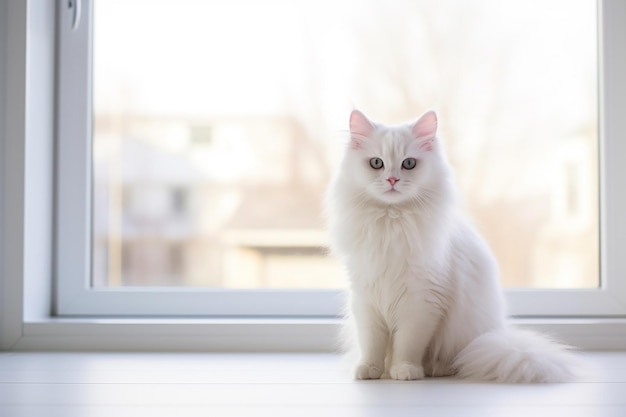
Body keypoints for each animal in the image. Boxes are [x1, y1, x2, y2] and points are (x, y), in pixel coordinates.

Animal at [326, 109, 576, 382]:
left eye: (408, 164)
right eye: (376, 163)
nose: (392, 179)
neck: (392, 222)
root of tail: (498, 331)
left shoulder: (420, 303)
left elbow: (407, 344)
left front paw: (405, 370)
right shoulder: (366, 299)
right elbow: (371, 343)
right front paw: (369, 370)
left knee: (457, 359)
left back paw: (435, 368)